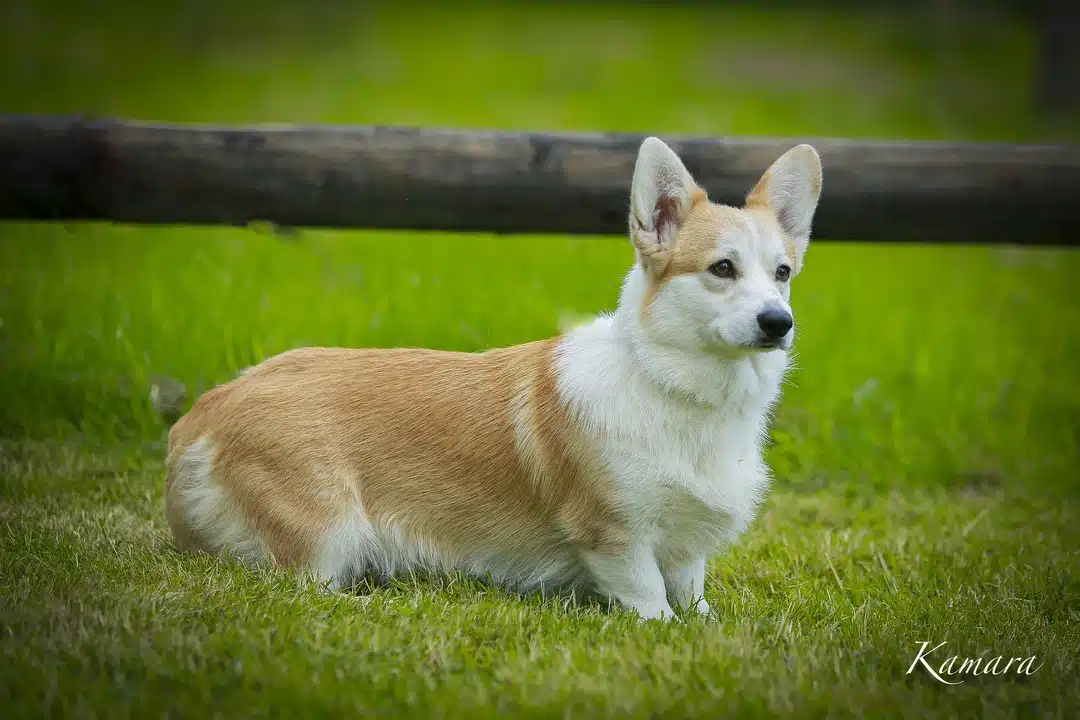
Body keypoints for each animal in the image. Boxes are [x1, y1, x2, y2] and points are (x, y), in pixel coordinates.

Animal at [164, 138, 820, 621]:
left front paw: (704, 625)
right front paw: (663, 629)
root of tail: (204, 413)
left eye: (783, 273)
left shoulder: (686, 546)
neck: (677, 387)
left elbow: (691, 594)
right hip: (328, 535)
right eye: (722, 268)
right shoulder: (615, 536)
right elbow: (650, 601)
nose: (779, 322)